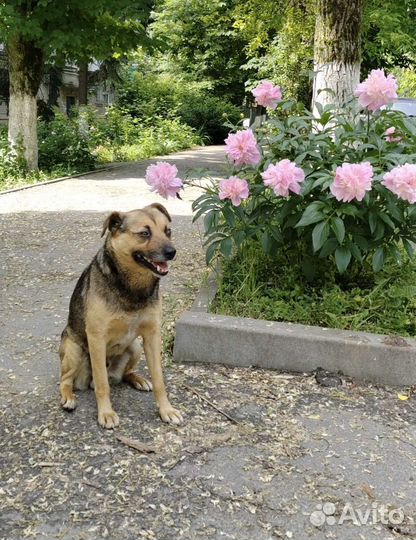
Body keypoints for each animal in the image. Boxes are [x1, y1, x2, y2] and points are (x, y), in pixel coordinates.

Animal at [58, 205, 182, 428]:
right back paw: (69, 397)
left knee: (125, 373)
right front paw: (106, 413)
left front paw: (166, 410)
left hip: (135, 347)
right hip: (74, 350)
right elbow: (102, 384)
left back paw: (137, 379)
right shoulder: (96, 338)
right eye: (144, 233)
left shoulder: (152, 336)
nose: (172, 252)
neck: (133, 288)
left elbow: (159, 380)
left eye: (167, 231)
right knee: (65, 380)